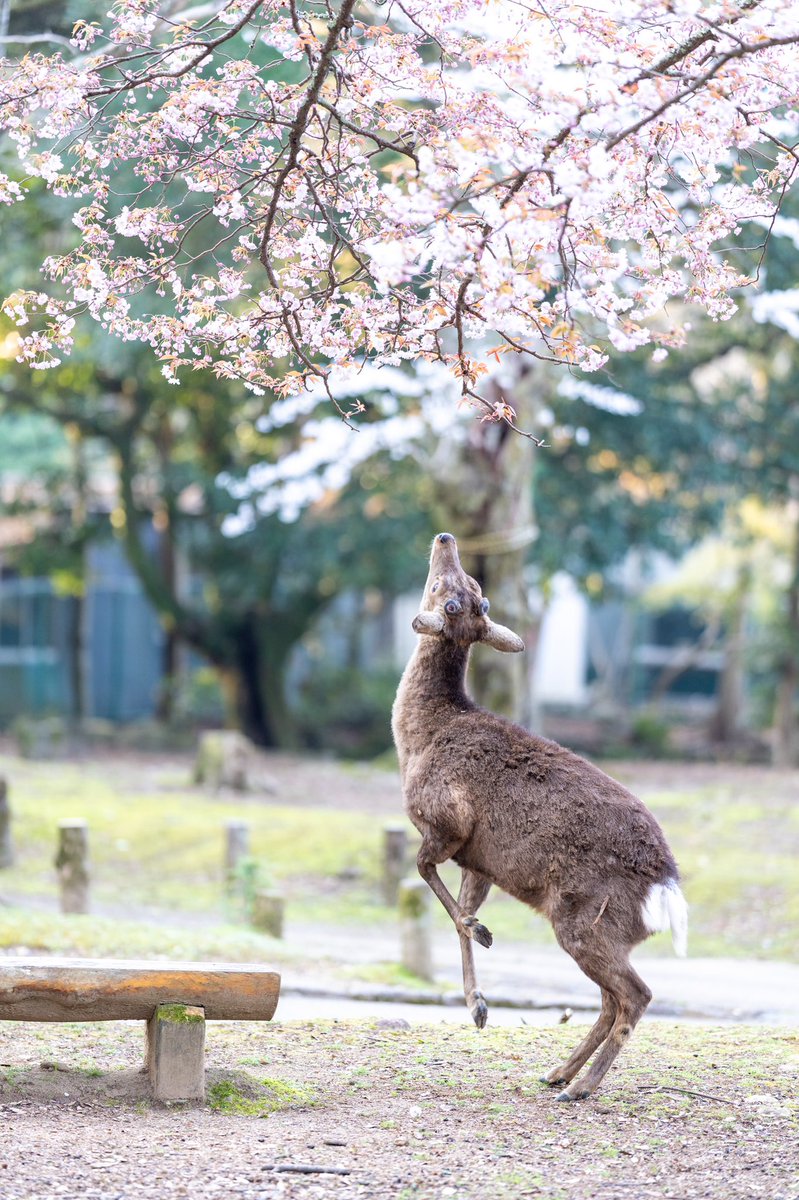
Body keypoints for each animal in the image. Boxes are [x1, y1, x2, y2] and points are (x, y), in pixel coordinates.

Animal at [391, 532, 688, 1101]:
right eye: (476, 594)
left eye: (449, 593)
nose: (445, 537)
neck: (417, 741)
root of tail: (667, 888)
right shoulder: (478, 861)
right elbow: (457, 914)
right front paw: (478, 1004)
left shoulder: (446, 819)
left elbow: (423, 872)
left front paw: (480, 936)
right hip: (605, 932)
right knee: (610, 998)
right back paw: (558, 1073)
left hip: (583, 918)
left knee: (635, 994)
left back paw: (581, 1086)